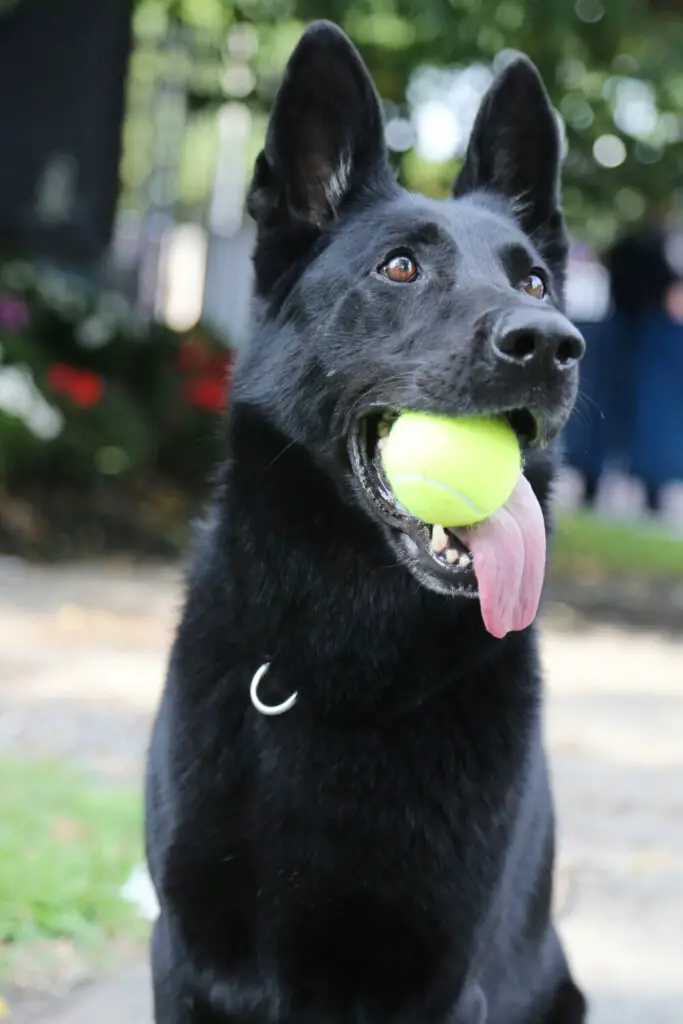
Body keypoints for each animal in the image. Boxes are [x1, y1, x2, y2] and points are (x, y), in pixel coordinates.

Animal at [147, 19, 589, 1019]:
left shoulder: (437, 982)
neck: (346, 667)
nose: (550, 344)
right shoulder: (184, 957)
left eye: (535, 283)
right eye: (399, 268)